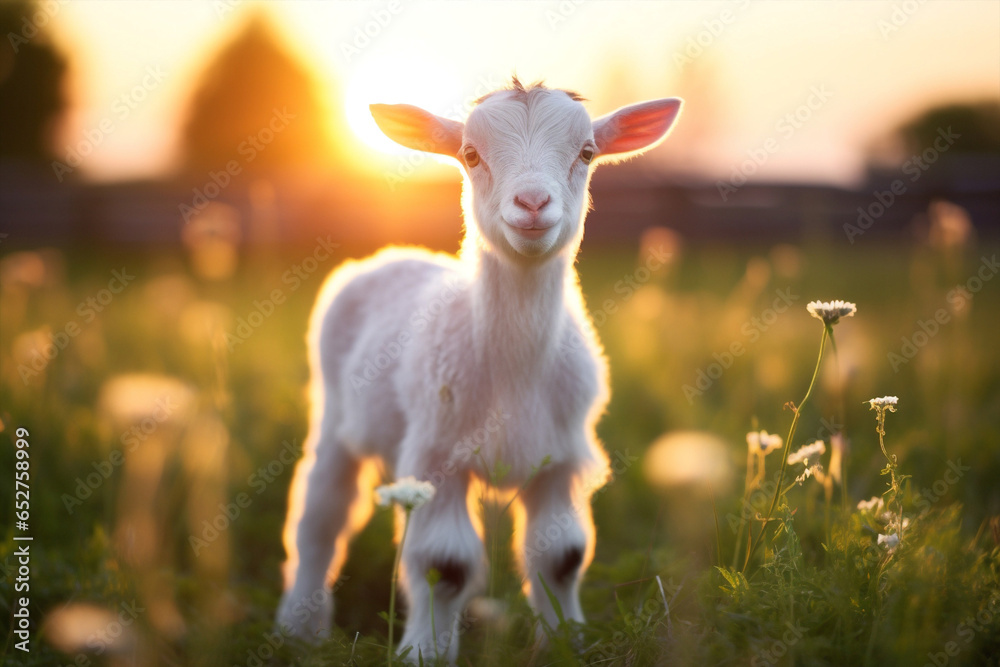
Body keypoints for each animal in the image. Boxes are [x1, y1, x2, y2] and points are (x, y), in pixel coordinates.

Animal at [276, 77, 682, 662]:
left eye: (587, 153)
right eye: (470, 154)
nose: (533, 203)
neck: (514, 370)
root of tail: (394, 252)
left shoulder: (561, 456)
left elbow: (562, 556)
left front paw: (565, 642)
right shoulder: (435, 454)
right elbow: (444, 564)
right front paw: (425, 652)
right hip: (332, 414)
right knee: (319, 519)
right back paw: (298, 630)